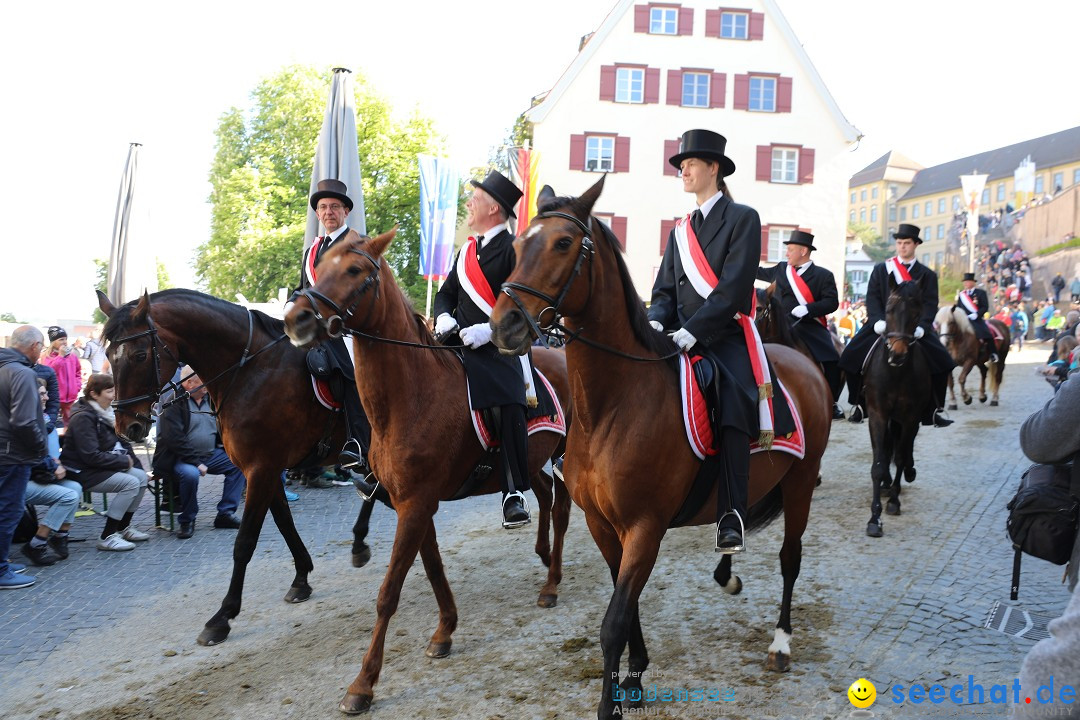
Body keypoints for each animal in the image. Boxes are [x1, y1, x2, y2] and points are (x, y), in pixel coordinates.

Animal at [96, 289, 393, 647]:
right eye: (109, 355)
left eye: (140, 355)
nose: (128, 428)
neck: (253, 369)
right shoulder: (268, 469)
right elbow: (284, 523)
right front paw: (301, 578)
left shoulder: (261, 468)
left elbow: (245, 542)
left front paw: (222, 617)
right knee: (377, 486)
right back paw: (360, 542)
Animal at [282, 231, 578, 716]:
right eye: (319, 265)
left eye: (354, 270)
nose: (296, 318)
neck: (410, 395)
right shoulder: (416, 503)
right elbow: (435, 568)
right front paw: (445, 632)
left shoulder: (416, 505)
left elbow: (388, 593)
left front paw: (363, 684)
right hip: (533, 461)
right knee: (550, 497)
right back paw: (542, 555)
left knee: (566, 507)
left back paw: (552, 582)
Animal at [486, 175, 829, 720]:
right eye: (517, 246)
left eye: (563, 243)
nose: (504, 326)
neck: (612, 406)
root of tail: (802, 362)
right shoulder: (603, 524)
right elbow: (625, 605)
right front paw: (635, 675)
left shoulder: (645, 527)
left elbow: (613, 622)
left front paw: (611, 703)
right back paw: (727, 568)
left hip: (800, 482)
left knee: (790, 558)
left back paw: (781, 643)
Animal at [859, 280, 928, 535]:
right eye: (888, 311)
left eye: (917, 313)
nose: (897, 355)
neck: (897, 374)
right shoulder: (877, 415)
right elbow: (878, 464)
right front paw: (874, 518)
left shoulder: (910, 418)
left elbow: (899, 457)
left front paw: (894, 502)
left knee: (903, 449)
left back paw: (908, 472)